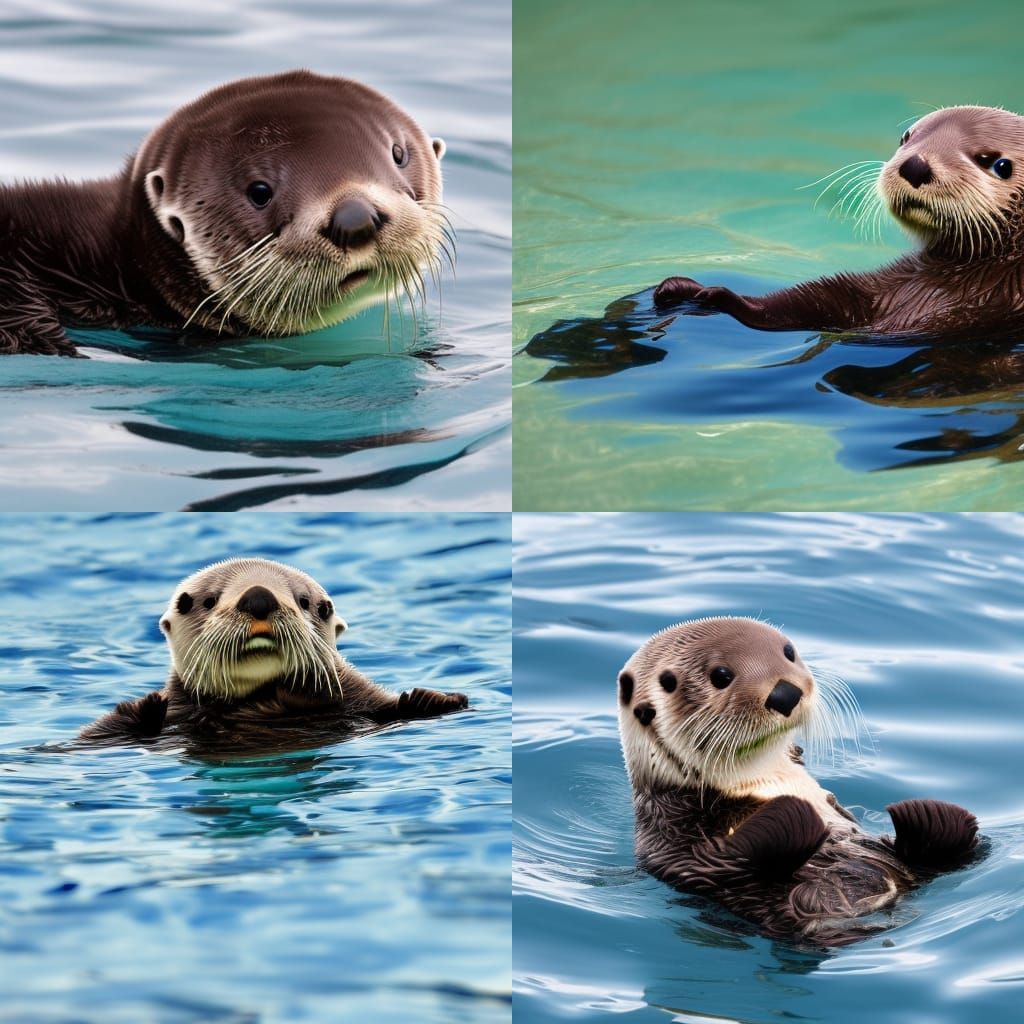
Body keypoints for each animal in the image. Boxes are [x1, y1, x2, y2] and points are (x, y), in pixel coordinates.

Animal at [618, 617, 978, 946]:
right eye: (721, 676)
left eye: (789, 651)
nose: (784, 692)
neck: (766, 778)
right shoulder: (674, 827)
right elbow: (720, 862)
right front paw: (793, 814)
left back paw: (926, 815)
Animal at [653, 106, 1024, 337]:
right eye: (906, 137)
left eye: (998, 164)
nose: (915, 164)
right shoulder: (883, 289)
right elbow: (819, 300)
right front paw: (693, 289)